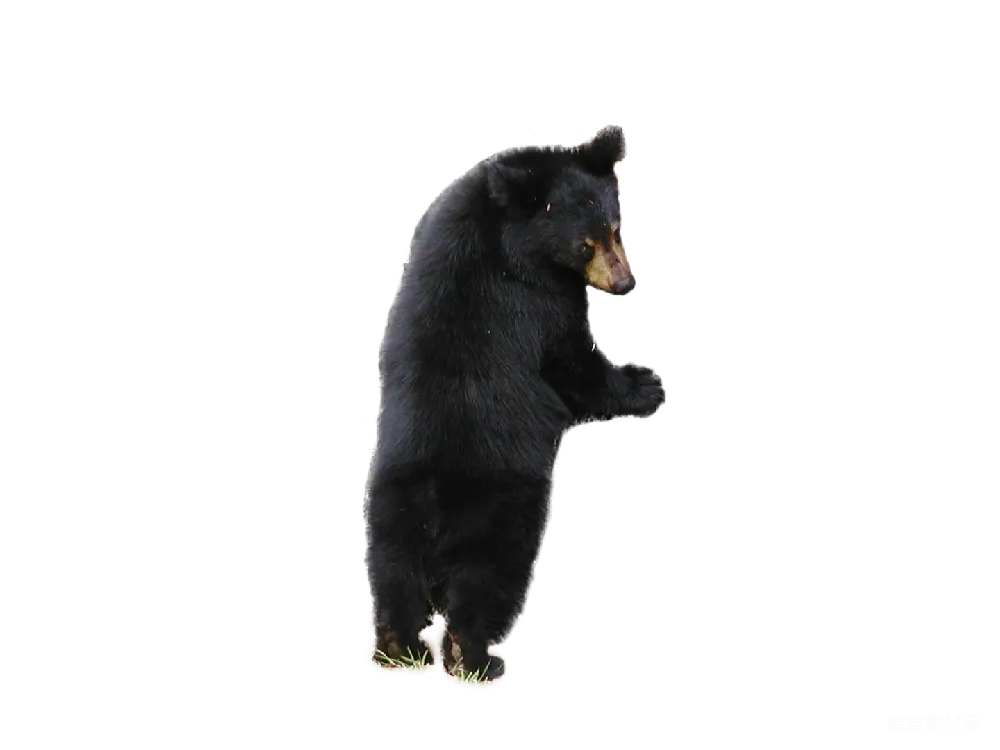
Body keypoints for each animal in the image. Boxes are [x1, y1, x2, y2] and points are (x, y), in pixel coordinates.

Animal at [365, 126, 664, 679]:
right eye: (585, 245)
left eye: (616, 229)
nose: (624, 283)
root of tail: (436, 505)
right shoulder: (537, 297)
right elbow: (573, 359)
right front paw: (644, 383)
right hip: (505, 510)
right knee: (486, 583)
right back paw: (482, 658)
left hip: (389, 505)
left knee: (395, 574)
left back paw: (400, 645)